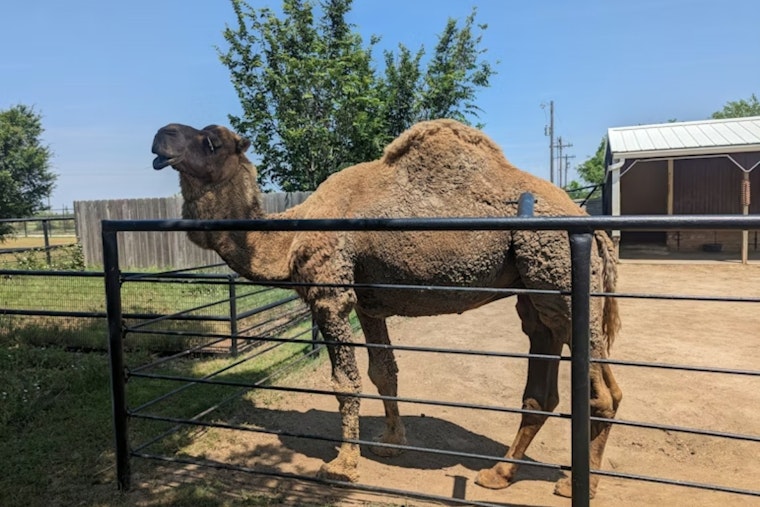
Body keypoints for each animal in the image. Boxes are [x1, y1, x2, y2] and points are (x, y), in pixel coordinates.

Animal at [151, 119, 622, 498]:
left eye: (212, 141)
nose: (162, 136)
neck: (289, 238)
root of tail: (593, 227)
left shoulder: (331, 294)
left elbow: (346, 383)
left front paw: (343, 466)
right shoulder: (369, 301)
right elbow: (384, 372)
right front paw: (391, 443)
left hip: (558, 275)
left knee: (603, 392)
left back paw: (576, 484)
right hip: (536, 294)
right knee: (546, 386)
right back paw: (498, 474)